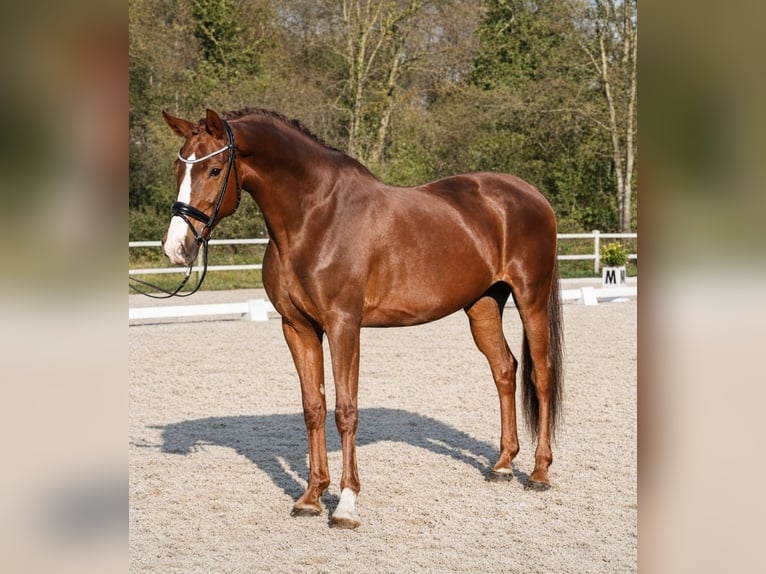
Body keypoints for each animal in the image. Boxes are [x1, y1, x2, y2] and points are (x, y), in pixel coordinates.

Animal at [159, 107, 564, 529]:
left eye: (214, 169)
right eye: (178, 167)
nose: (176, 248)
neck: (316, 217)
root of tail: (532, 195)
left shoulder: (343, 325)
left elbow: (345, 410)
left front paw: (346, 504)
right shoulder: (298, 328)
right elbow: (314, 408)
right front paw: (311, 497)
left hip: (531, 300)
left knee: (541, 374)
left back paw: (539, 473)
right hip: (483, 305)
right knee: (504, 369)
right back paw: (502, 465)